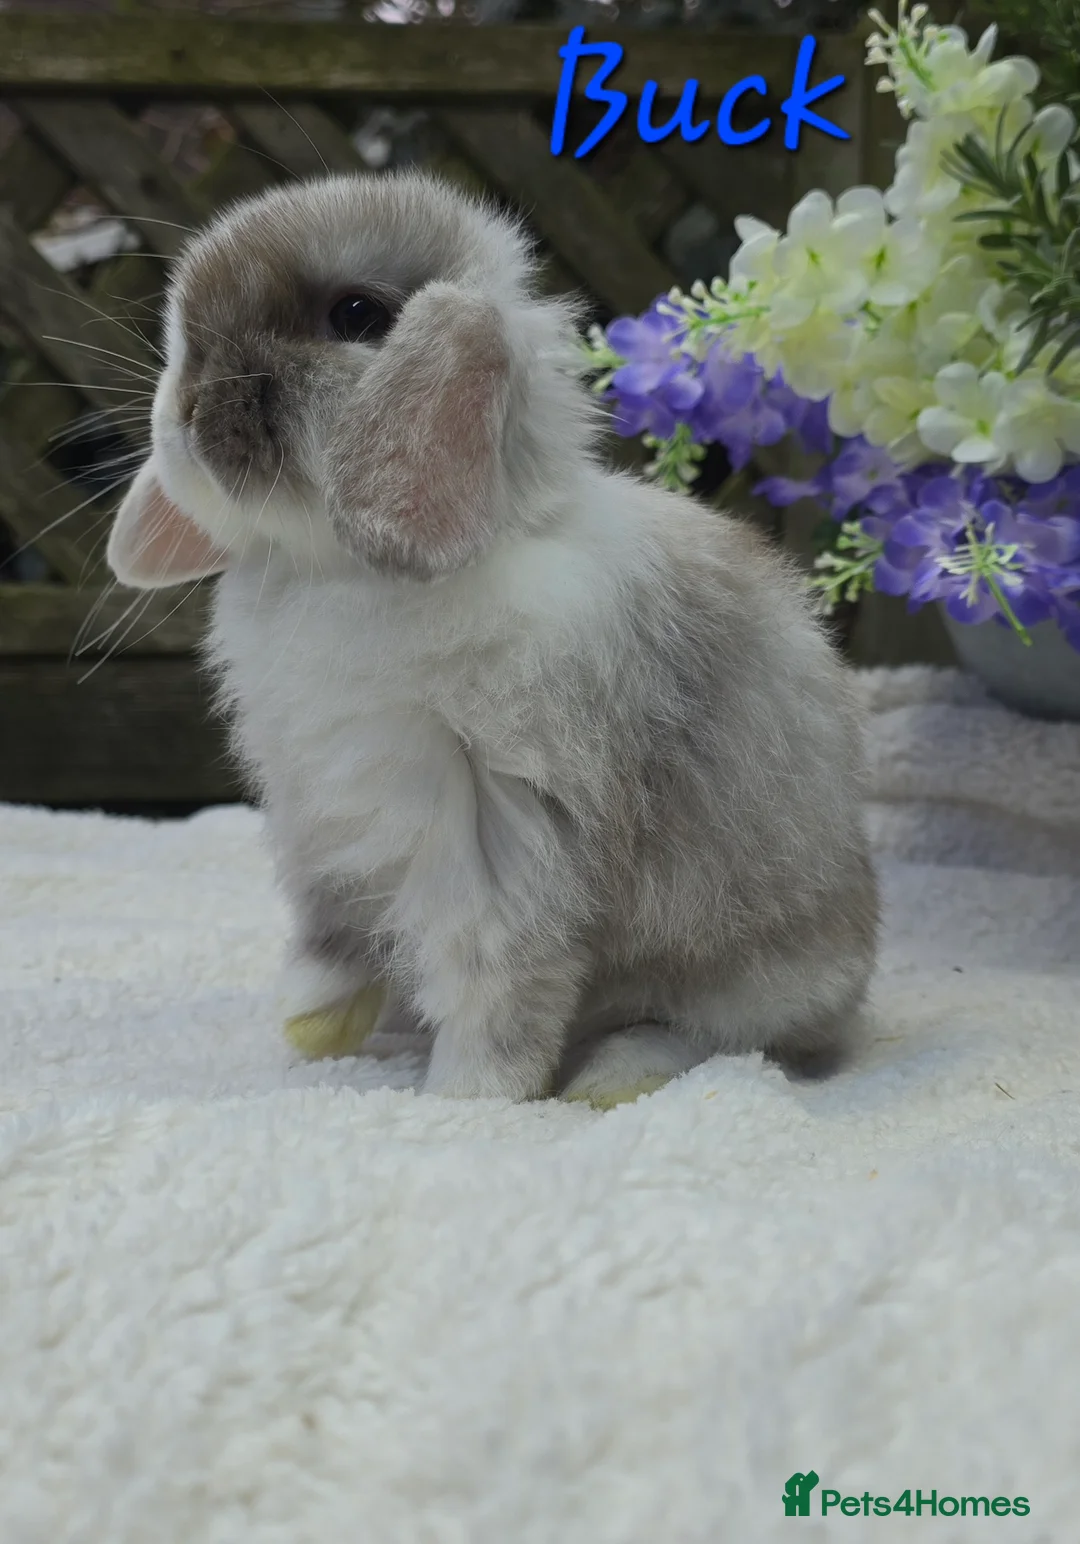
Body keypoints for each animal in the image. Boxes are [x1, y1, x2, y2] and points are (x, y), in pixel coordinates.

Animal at [106, 170, 879, 1106]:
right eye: (181, 338)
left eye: (356, 315)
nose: (185, 409)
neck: (340, 574)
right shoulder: (317, 813)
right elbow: (331, 931)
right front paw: (311, 1022)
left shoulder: (500, 833)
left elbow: (496, 984)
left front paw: (466, 1100)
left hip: (751, 976)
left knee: (726, 1041)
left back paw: (611, 1077)